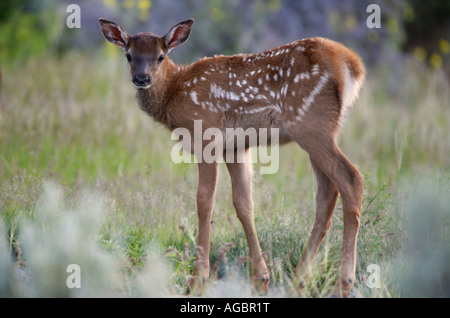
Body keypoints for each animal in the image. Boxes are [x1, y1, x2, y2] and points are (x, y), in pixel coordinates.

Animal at [99, 17, 366, 296]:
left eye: (161, 56)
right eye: (129, 55)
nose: (142, 78)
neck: (175, 91)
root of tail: (351, 65)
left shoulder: (206, 132)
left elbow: (205, 200)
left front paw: (198, 279)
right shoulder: (236, 147)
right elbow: (244, 204)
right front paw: (261, 278)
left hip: (311, 124)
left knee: (351, 179)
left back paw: (343, 282)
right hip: (322, 130)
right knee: (327, 192)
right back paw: (298, 279)